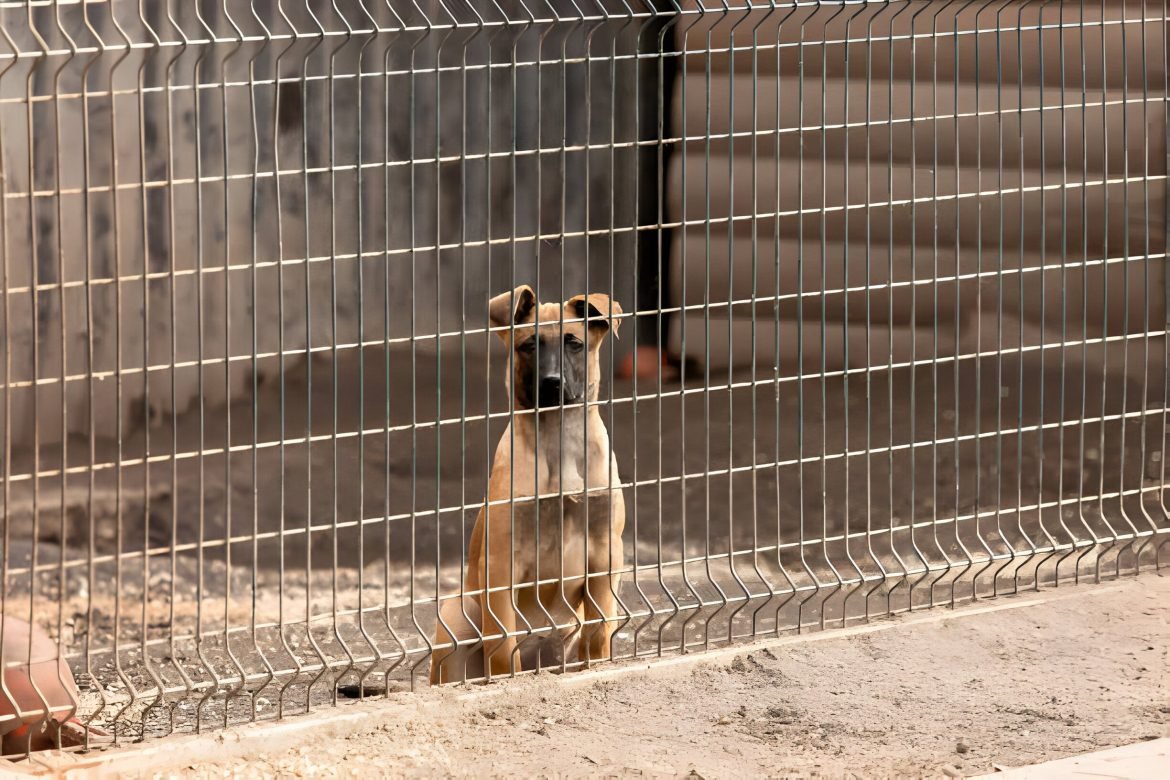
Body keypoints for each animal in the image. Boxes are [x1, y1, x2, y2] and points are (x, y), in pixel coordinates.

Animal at [430, 285, 627, 682]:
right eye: (528, 346)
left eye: (574, 343)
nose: (552, 383)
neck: (557, 441)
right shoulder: (501, 564)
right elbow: (505, 646)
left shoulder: (605, 554)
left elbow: (600, 631)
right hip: (458, 613)